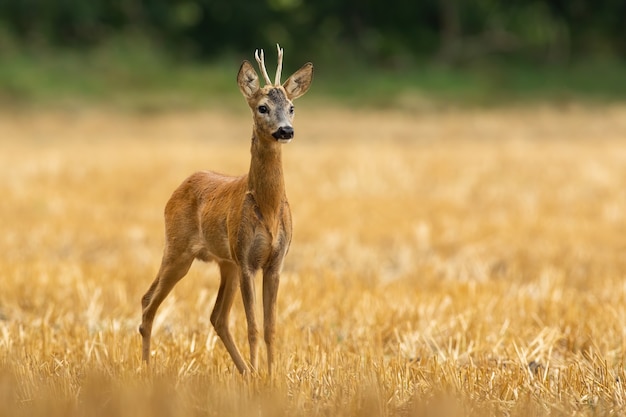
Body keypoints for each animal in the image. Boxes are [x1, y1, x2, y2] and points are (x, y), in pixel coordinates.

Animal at [138, 45, 310, 374]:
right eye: (263, 107)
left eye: (292, 107)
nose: (286, 131)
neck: (269, 208)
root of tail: (179, 187)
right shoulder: (246, 260)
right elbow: (253, 326)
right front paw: (261, 375)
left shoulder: (275, 261)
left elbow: (270, 327)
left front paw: (271, 376)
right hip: (178, 249)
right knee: (147, 300)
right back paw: (145, 368)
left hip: (224, 262)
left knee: (217, 316)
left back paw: (245, 371)